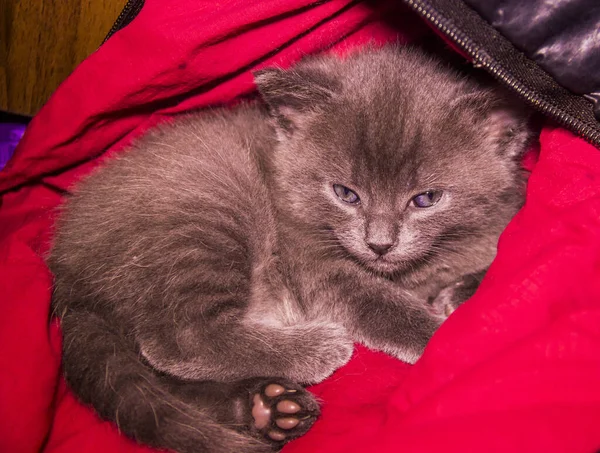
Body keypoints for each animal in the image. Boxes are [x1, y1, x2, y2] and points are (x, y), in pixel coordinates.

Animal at [49, 46, 532, 452]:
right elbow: (380, 304)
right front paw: (446, 338)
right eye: (345, 194)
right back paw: (314, 351)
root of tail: (67, 271)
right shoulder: (311, 258)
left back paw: (266, 408)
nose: (379, 243)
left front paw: (462, 291)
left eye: (426, 199)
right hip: (210, 210)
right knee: (174, 338)